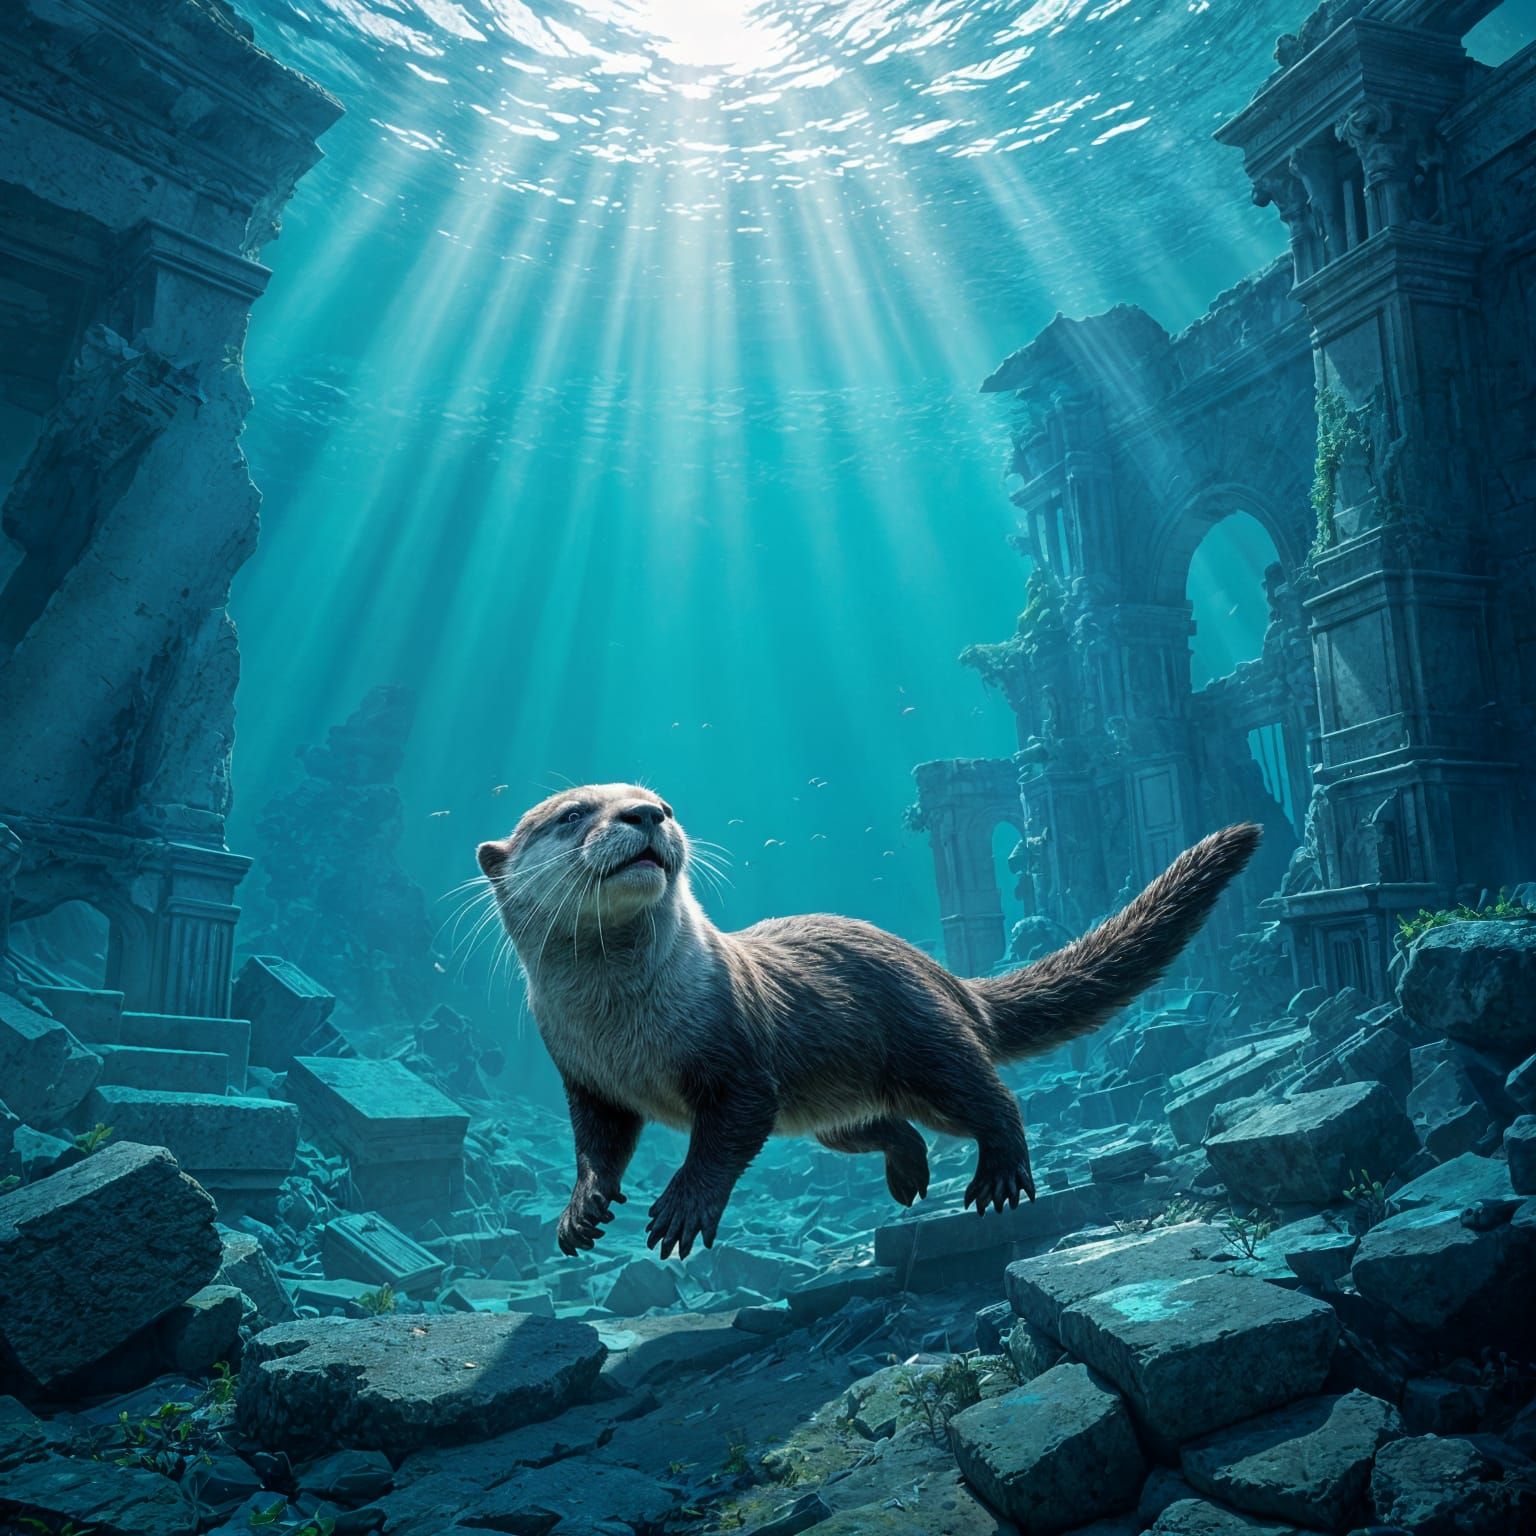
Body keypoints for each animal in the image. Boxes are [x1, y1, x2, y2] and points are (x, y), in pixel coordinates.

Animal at [477, 785, 1258, 1260]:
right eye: (573, 814)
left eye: (661, 801)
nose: (648, 814)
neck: (624, 1028)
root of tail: (945, 977)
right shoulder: (583, 1075)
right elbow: (597, 1145)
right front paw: (581, 1213)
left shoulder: (734, 1054)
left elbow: (729, 1127)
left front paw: (683, 1208)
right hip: (835, 1110)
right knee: (887, 1125)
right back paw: (908, 1175)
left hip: (928, 1045)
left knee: (990, 1096)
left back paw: (999, 1174)